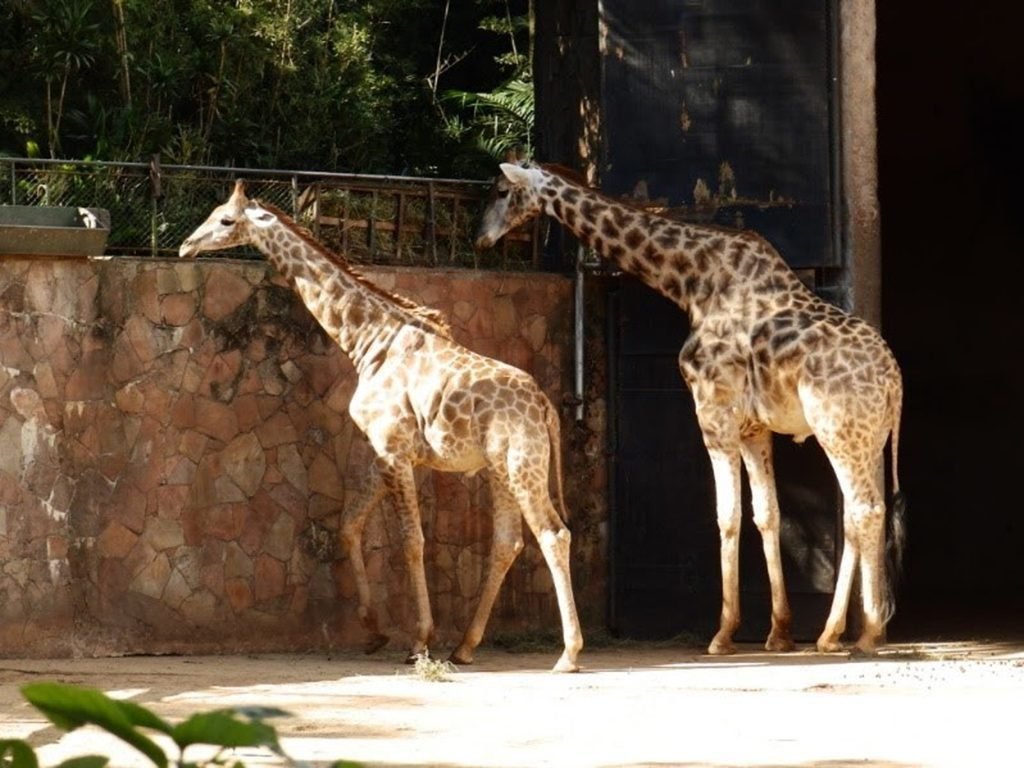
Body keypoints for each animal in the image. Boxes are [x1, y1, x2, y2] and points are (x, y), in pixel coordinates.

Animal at [178, 180, 585, 671]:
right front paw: (374, 631)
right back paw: (465, 646)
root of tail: (545, 405)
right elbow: (350, 526)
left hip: (523, 464)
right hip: (499, 469)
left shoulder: (394, 449)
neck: (369, 341)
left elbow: (412, 541)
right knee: (507, 543)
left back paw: (568, 653)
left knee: (553, 533)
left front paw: (419, 640)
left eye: (225, 219)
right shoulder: (380, 450)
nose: (185, 245)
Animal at [475, 160, 909, 655]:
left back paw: (864, 632)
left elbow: (727, 516)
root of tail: (894, 380)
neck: (691, 281)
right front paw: (778, 632)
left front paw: (722, 633)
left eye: (502, 191)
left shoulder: (712, 412)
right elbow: (767, 515)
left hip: (839, 433)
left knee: (865, 510)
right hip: (865, 440)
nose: (481, 239)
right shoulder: (753, 428)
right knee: (859, 513)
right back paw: (833, 633)